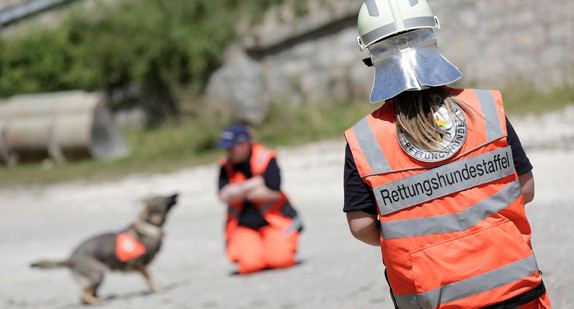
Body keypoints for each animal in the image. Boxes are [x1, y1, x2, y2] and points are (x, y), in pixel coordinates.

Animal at [31, 192, 179, 304]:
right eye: (165, 198)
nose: (176, 194)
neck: (149, 224)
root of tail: (70, 259)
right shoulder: (140, 265)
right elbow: (150, 278)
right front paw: (158, 288)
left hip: (96, 278)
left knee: (87, 295)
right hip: (97, 275)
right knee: (83, 296)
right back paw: (100, 301)